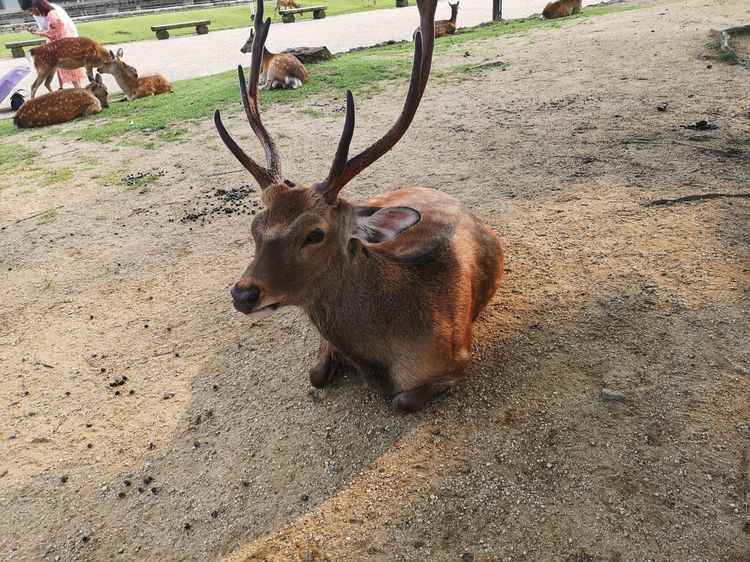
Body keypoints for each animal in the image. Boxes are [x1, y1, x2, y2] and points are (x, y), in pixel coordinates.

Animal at [216, 0, 506, 412]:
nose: (243, 294)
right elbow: (315, 374)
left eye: (315, 234)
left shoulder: (456, 362)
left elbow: (401, 401)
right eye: (255, 226)